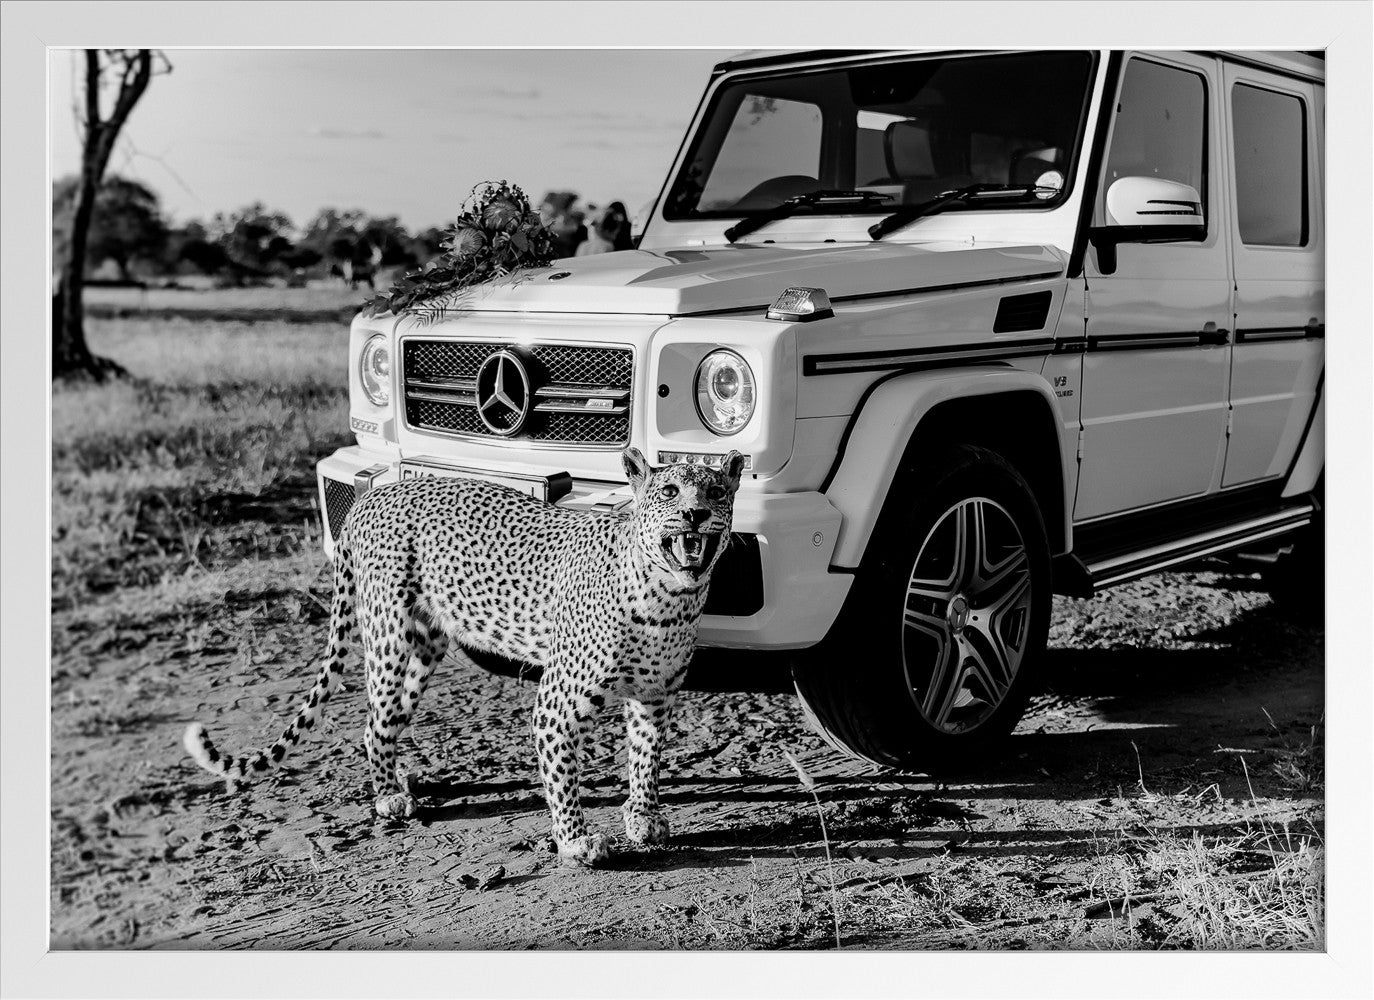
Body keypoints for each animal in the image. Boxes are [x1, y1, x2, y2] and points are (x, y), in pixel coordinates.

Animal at [183, 446, 744, 867]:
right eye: (669, 492)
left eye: (716, 492)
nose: (695, 514)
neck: (670, 599)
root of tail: (376, 494)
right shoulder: (557, 704)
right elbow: (564, 775)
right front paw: (575, 841)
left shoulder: (655, 696)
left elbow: (646, 759)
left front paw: (643, 817)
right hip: (387, 636)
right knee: (372, 722)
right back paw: (387, 795)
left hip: (426, 644)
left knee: (390, 719)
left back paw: (401, 780)